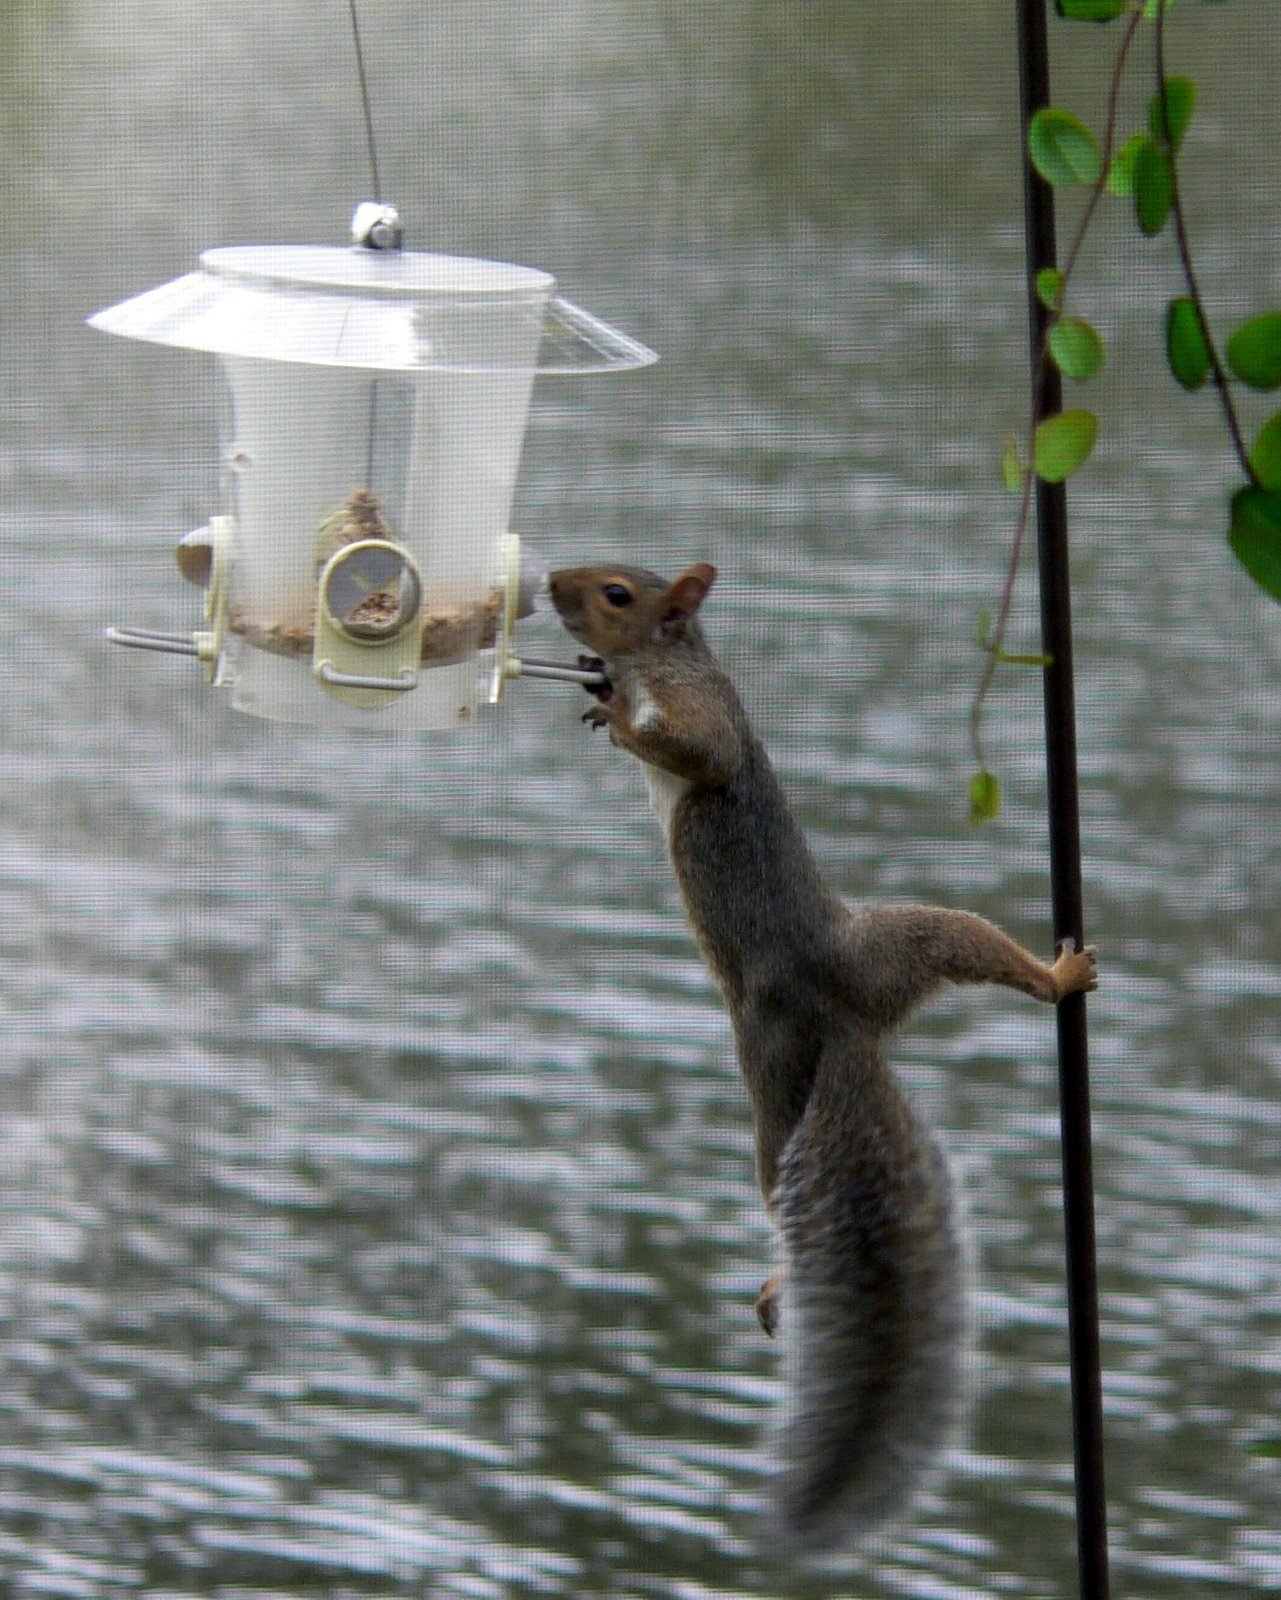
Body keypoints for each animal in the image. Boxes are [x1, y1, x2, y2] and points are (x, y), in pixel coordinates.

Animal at [543, 560, 1093, 1548]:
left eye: (614, 594)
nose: (548, 584)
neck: (665, 657)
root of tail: (846, 1020)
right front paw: (594, 696)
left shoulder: (701, 713)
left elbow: (701, 755)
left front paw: (622, 723)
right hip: (899, 963)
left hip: (799, 1052)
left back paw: (1058, 974)